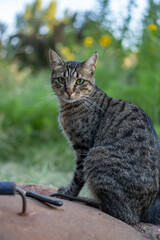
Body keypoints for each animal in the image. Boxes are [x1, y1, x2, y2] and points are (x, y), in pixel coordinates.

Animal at [48, 49, 160, 225]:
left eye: (80, 81)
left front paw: (68, 193)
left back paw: (91, 202)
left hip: (96, 156)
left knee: (126, 216)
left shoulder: (83, 148)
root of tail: (146, 211)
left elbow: (78, 177)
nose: (69, 91)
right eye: (61, 79)